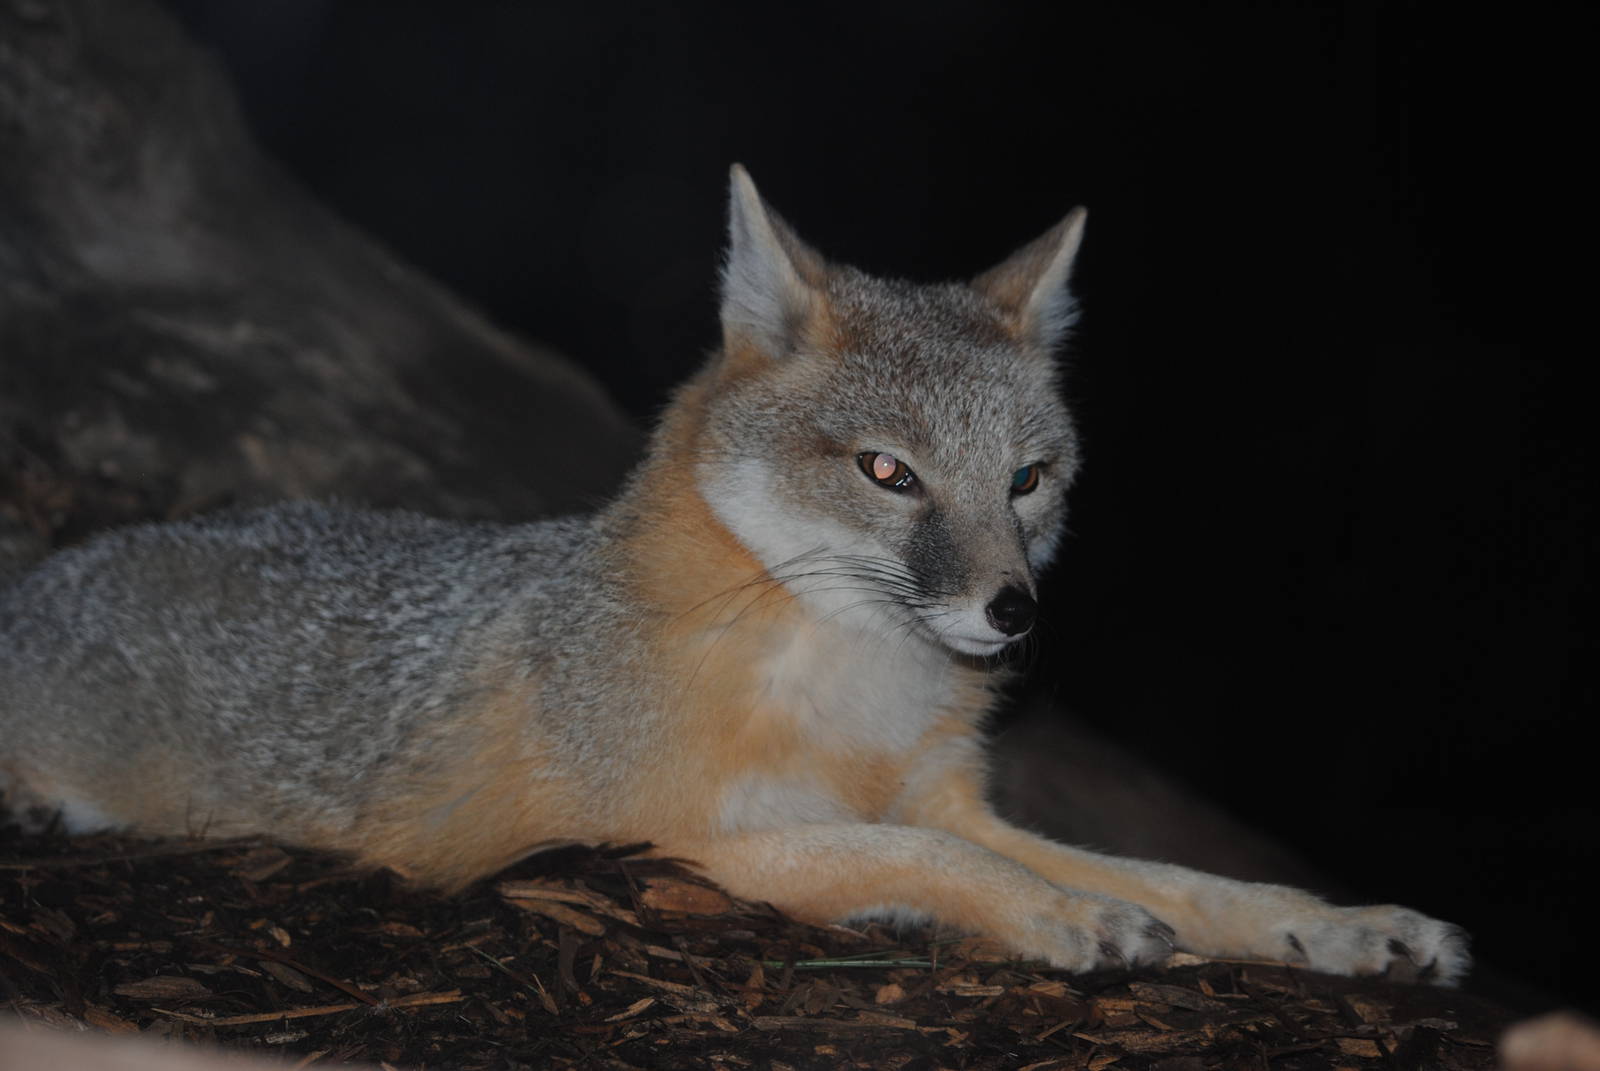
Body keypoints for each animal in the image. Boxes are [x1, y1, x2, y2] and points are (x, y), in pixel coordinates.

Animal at [0, 166, 1468, 983]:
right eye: (887, 473)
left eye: (1025, 480)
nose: (1013, 610)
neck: (848, 693)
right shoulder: (659, 836)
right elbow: (914, 849)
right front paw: (1058, 914)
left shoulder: (947, 793)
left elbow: (1182, 877)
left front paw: (1343, 926)